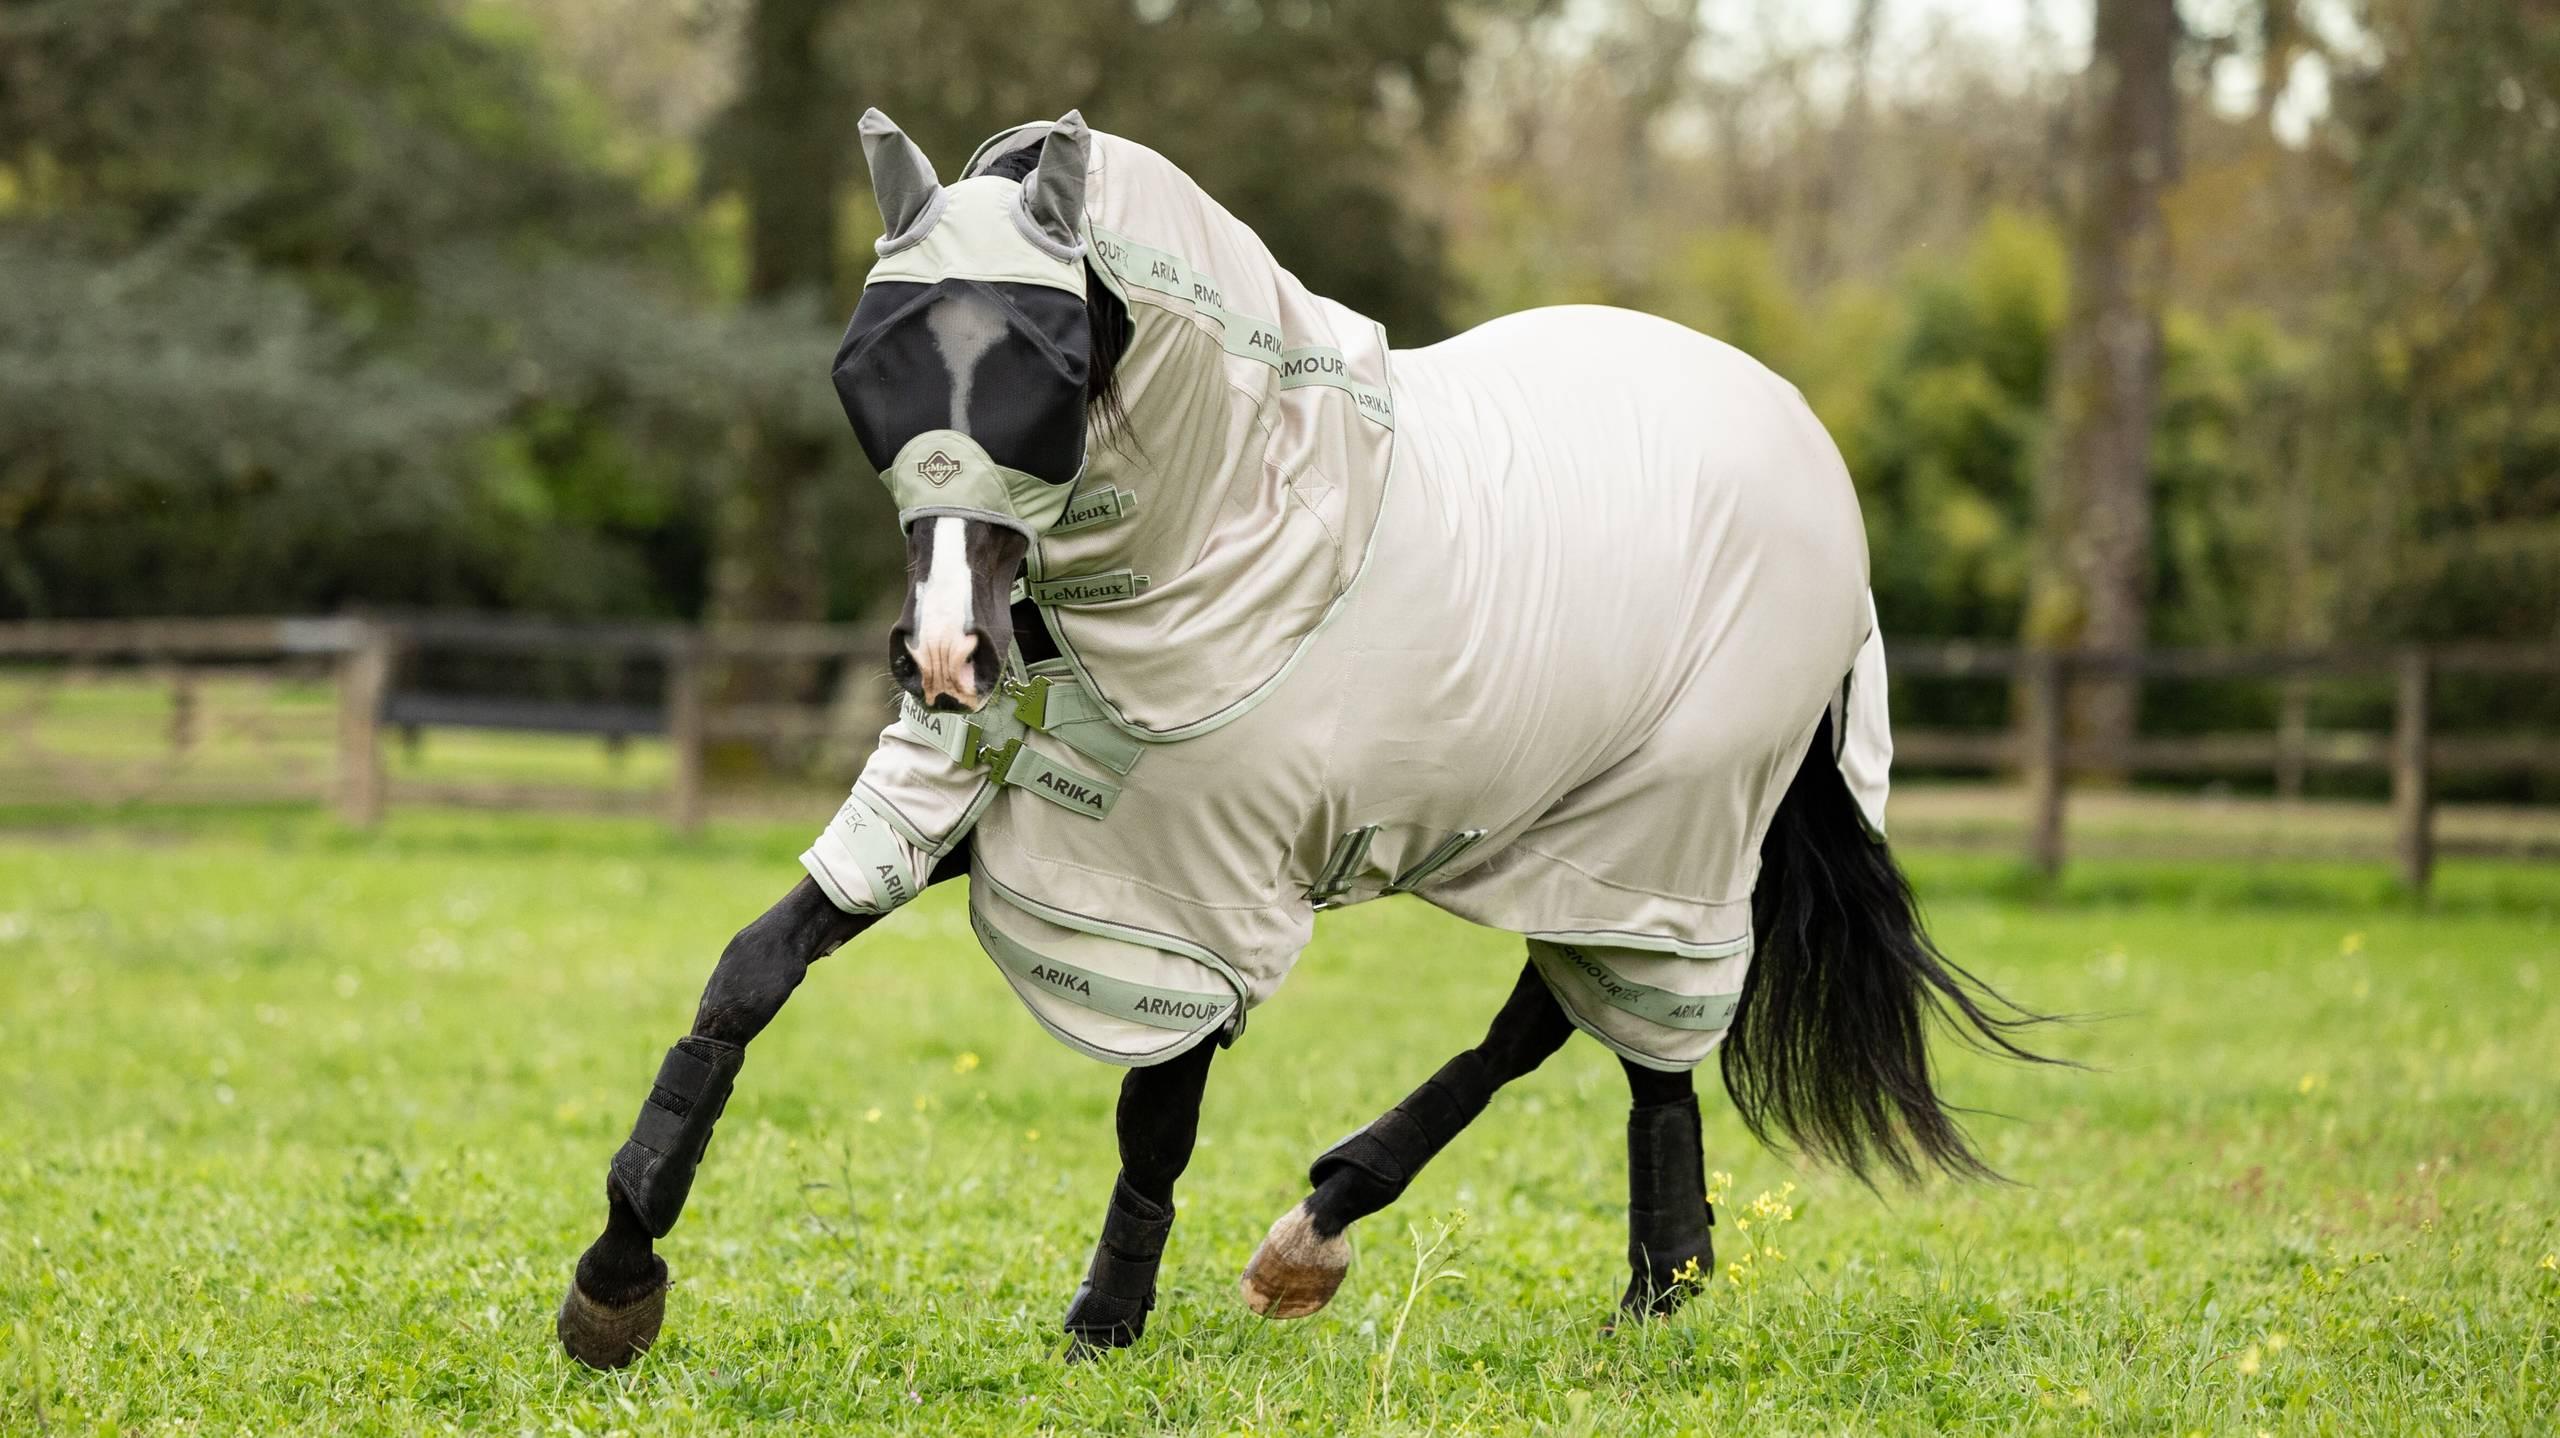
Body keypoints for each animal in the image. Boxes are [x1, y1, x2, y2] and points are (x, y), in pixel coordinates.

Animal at [556, 110, 2051, 1368]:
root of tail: (1805, 445)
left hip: (1672, 827)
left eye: (1050, 368)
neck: (1232, 537)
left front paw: (1103, 1326)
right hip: (1589, 837)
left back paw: (1513, 1265)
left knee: (1613, 1029)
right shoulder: (968, 803)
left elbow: (1155, 1114)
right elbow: (747, 977)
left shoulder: (1189, 893)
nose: (944, 656)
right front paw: (616, 1282)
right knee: (1570, 1015)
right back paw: (1565, 1268)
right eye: (867, 361)